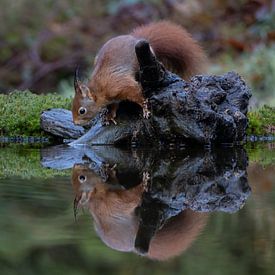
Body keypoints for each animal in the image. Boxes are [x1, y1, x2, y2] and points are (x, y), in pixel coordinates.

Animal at [73, 20, 207, 126]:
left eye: (82, 111)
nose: (75, 123)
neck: (99, 89)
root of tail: (136, 39)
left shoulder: (121, 85)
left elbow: (138, 95)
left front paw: (145, 109)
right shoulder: (114, 97)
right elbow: (113, 106)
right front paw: (109, 116)